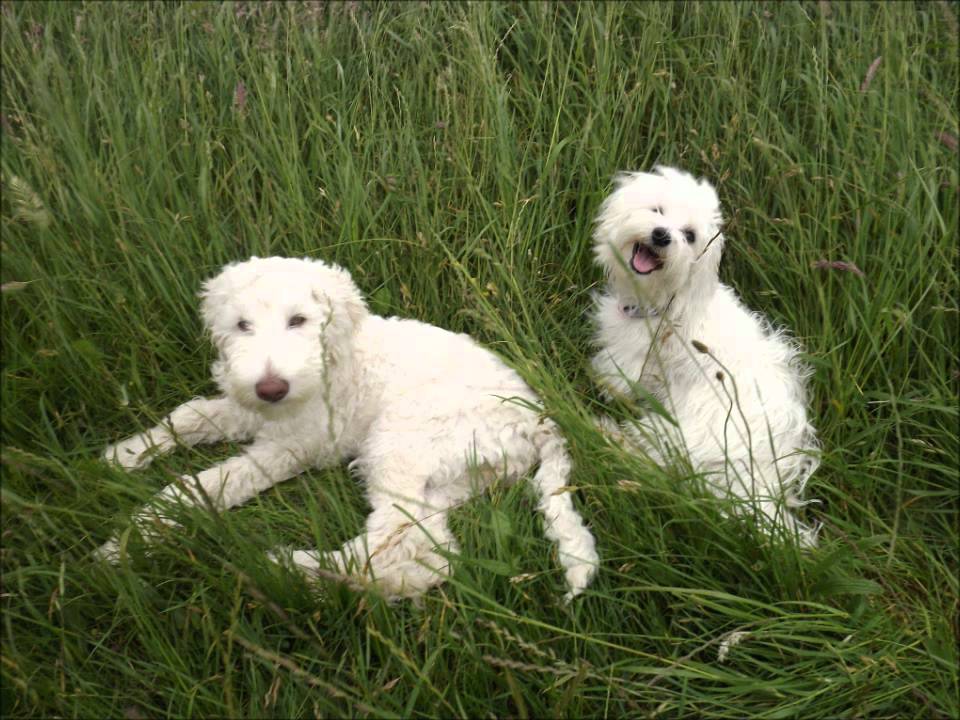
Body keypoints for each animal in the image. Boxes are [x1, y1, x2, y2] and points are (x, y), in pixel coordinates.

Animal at [94, 256, 596, 600]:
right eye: (241, 326)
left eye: (298, 320)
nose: (271, 387)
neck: (333, 358)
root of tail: (540, 422)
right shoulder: (251, 410)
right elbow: (189, 416)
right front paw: (126, 455)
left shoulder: (292, 446)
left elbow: (209, 483)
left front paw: (130, 540)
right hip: (454, 475)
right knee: (432, 551)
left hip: (401, 439)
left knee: (392, 536)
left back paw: (290, 569)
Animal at [588, 166, 820, 544]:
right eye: (658, 210)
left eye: (689, 235)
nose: (662, 236)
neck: (665, 302)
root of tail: (762, 478)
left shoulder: (629, 363)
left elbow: (614, 381)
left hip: (678, 431)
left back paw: (604, 435)